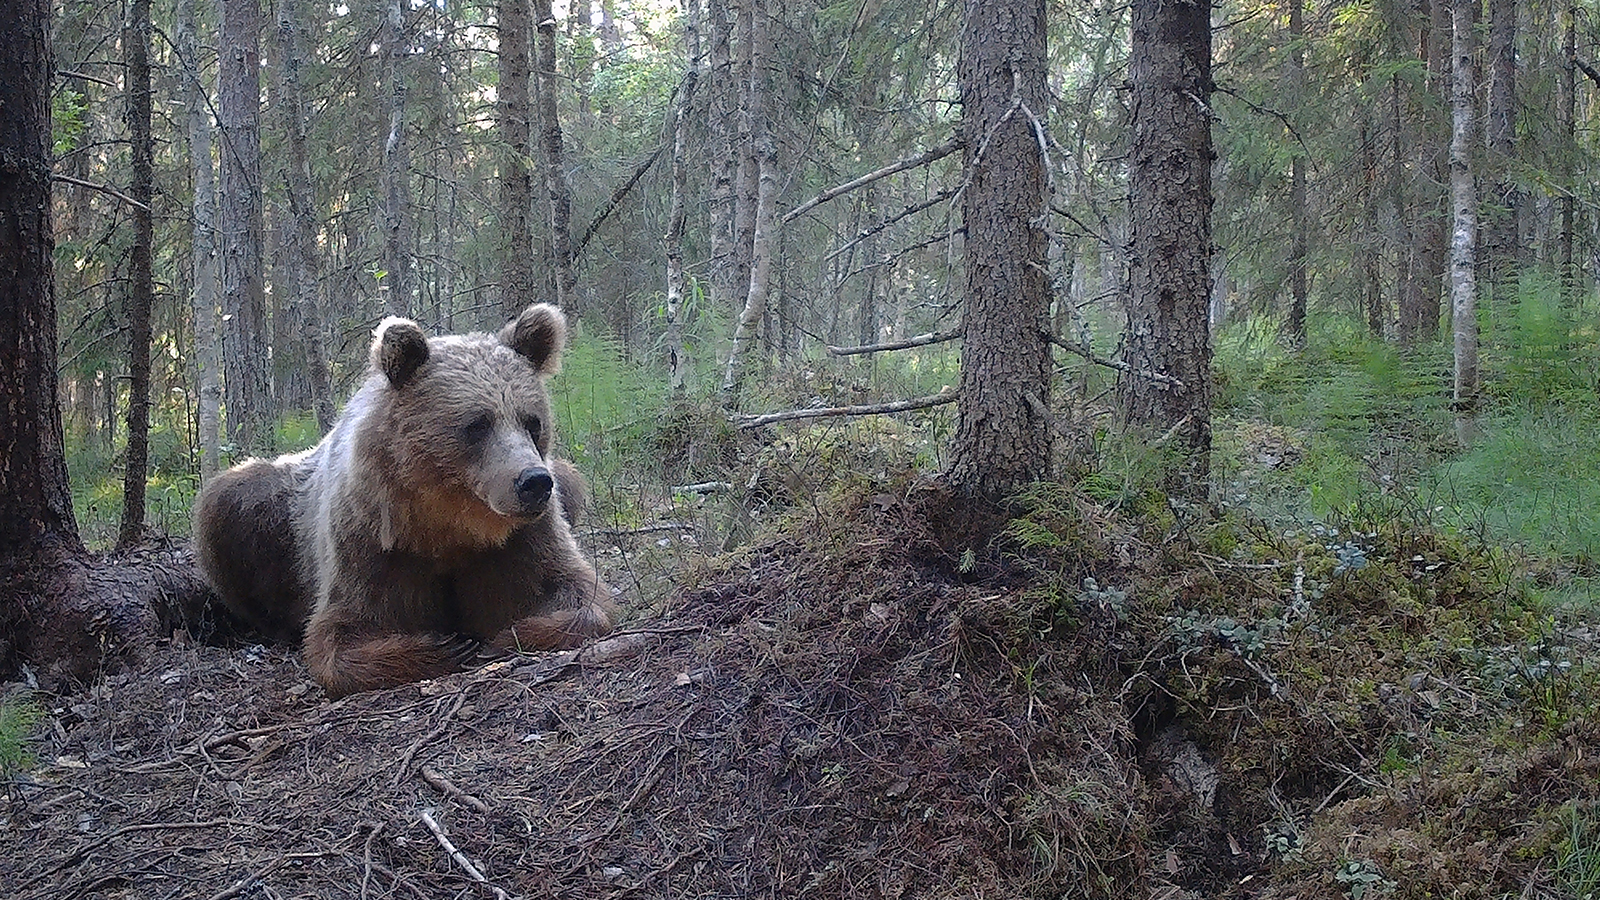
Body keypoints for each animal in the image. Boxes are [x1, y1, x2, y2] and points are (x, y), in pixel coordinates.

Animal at [188, 301, 611, 695]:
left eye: (532, 421)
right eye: (477, 424)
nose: (533, 482)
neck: (448, 522)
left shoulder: (518, 542)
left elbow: (576, 594)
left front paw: (508, 635)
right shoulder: (374, 542)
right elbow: (345, 632)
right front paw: (441, 646)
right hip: (270, 512)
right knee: (226, 509)